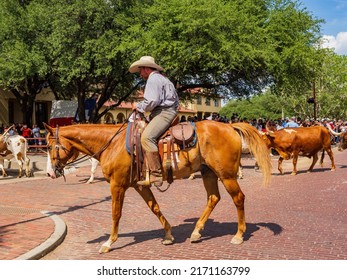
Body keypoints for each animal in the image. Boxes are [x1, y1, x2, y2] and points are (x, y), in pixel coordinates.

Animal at [43, 120, 272, 254]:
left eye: (49, 145)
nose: (50, 173)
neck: (113, 144)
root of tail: (229, 126)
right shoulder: (139, 185)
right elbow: (154, 207)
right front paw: (169, 235)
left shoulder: (117, 185)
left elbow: (116, 214)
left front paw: (109, 242)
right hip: (208, 173)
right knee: (213, 198)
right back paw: (197, 232)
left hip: (226, 175)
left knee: (238, 198)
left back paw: (239, 235)